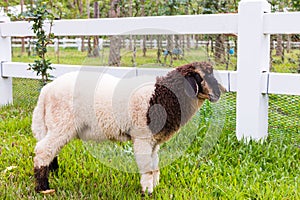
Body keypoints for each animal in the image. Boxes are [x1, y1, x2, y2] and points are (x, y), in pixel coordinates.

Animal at [32, 61, 224, 195]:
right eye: (204, 76)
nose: (220, 92)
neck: (162, 96)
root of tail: (46, 91)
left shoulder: (154, 141)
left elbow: (154, 165)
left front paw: (154, 187)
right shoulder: (142, 137)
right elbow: (147, 167)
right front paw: (147, 192)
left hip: (55, 125)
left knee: (50, 149)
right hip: (62, 123)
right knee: (43, 150)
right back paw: (43, 188)